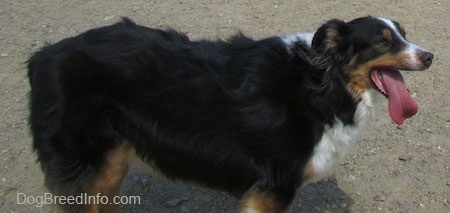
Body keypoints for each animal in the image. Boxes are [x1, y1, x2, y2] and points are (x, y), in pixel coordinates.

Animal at [27, 16, 432, 211]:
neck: (321, 83)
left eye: (403, 33)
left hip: (110, 165)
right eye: (381, 41)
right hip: (86, 168)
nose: (429, 56)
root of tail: (43, 55)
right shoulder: (274, 186)